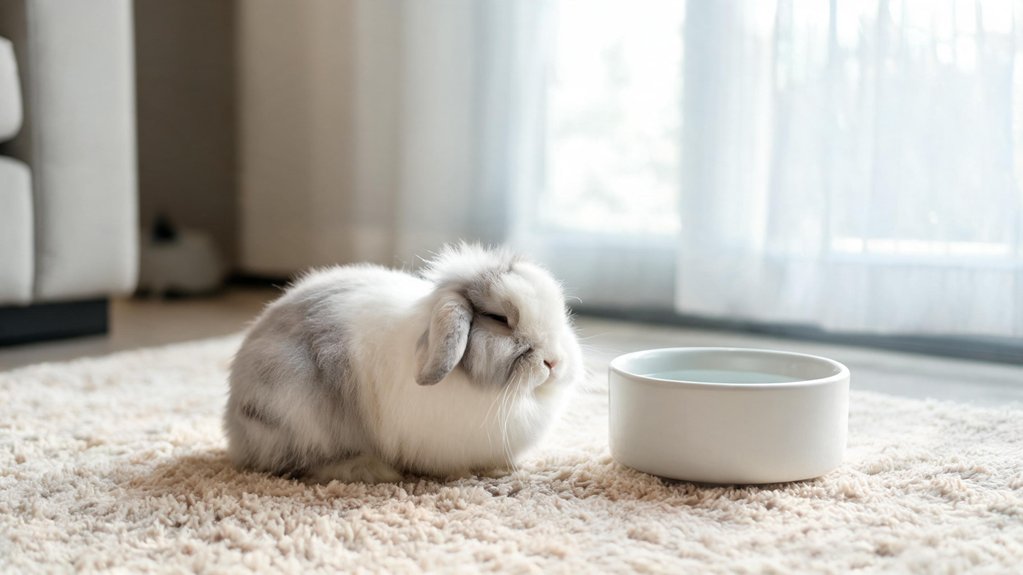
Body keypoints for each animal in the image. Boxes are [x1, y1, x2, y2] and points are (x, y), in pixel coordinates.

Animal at [224, 243, 583, 483]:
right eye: (499, 318)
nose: (554, 362)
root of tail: (234, 428)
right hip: (301, 414)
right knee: (302, 464)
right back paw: (371, 470)